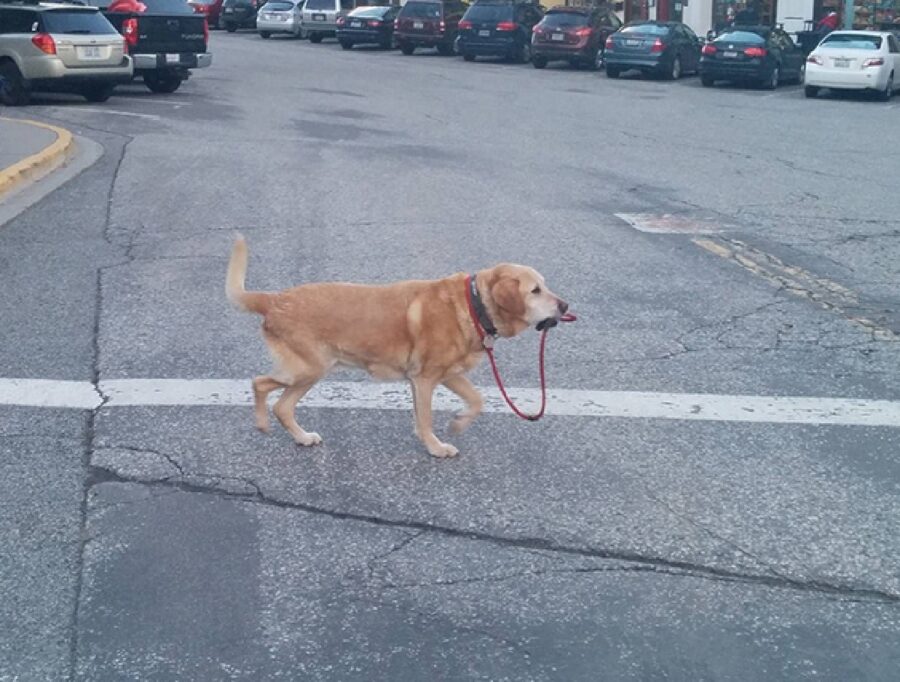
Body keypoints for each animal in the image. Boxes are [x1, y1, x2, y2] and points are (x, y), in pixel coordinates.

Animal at [225, 235, 568, 456]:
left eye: (544, 286)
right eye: (536, 290)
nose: (565, 306)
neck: (474, 304)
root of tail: (274, 300)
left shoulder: (449, 375)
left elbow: (477, 400)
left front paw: (458, 424)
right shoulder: (425, 379)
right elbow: (426, 418)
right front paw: (436, 448)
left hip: (311, 372)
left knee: (282, 406)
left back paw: (301, 437)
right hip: (308, 369)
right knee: (260, 384)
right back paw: (261, 423)